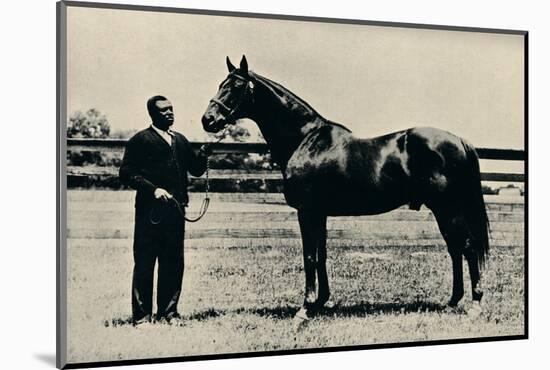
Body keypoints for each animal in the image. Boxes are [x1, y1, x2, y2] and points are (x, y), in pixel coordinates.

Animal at [202, 55, 492, 320]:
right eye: (220, 84)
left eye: (236, 86)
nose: (208, 120)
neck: (306, 140)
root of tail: (458, 140)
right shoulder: (319, 213)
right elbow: (321, 255)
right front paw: (322, 302)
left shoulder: (306, 211)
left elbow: (309, 257)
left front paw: (305, 309)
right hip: (442, 209)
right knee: (455, 249)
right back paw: (452, 301)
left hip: (448, 207)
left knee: (467, 247)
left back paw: (475, 305)